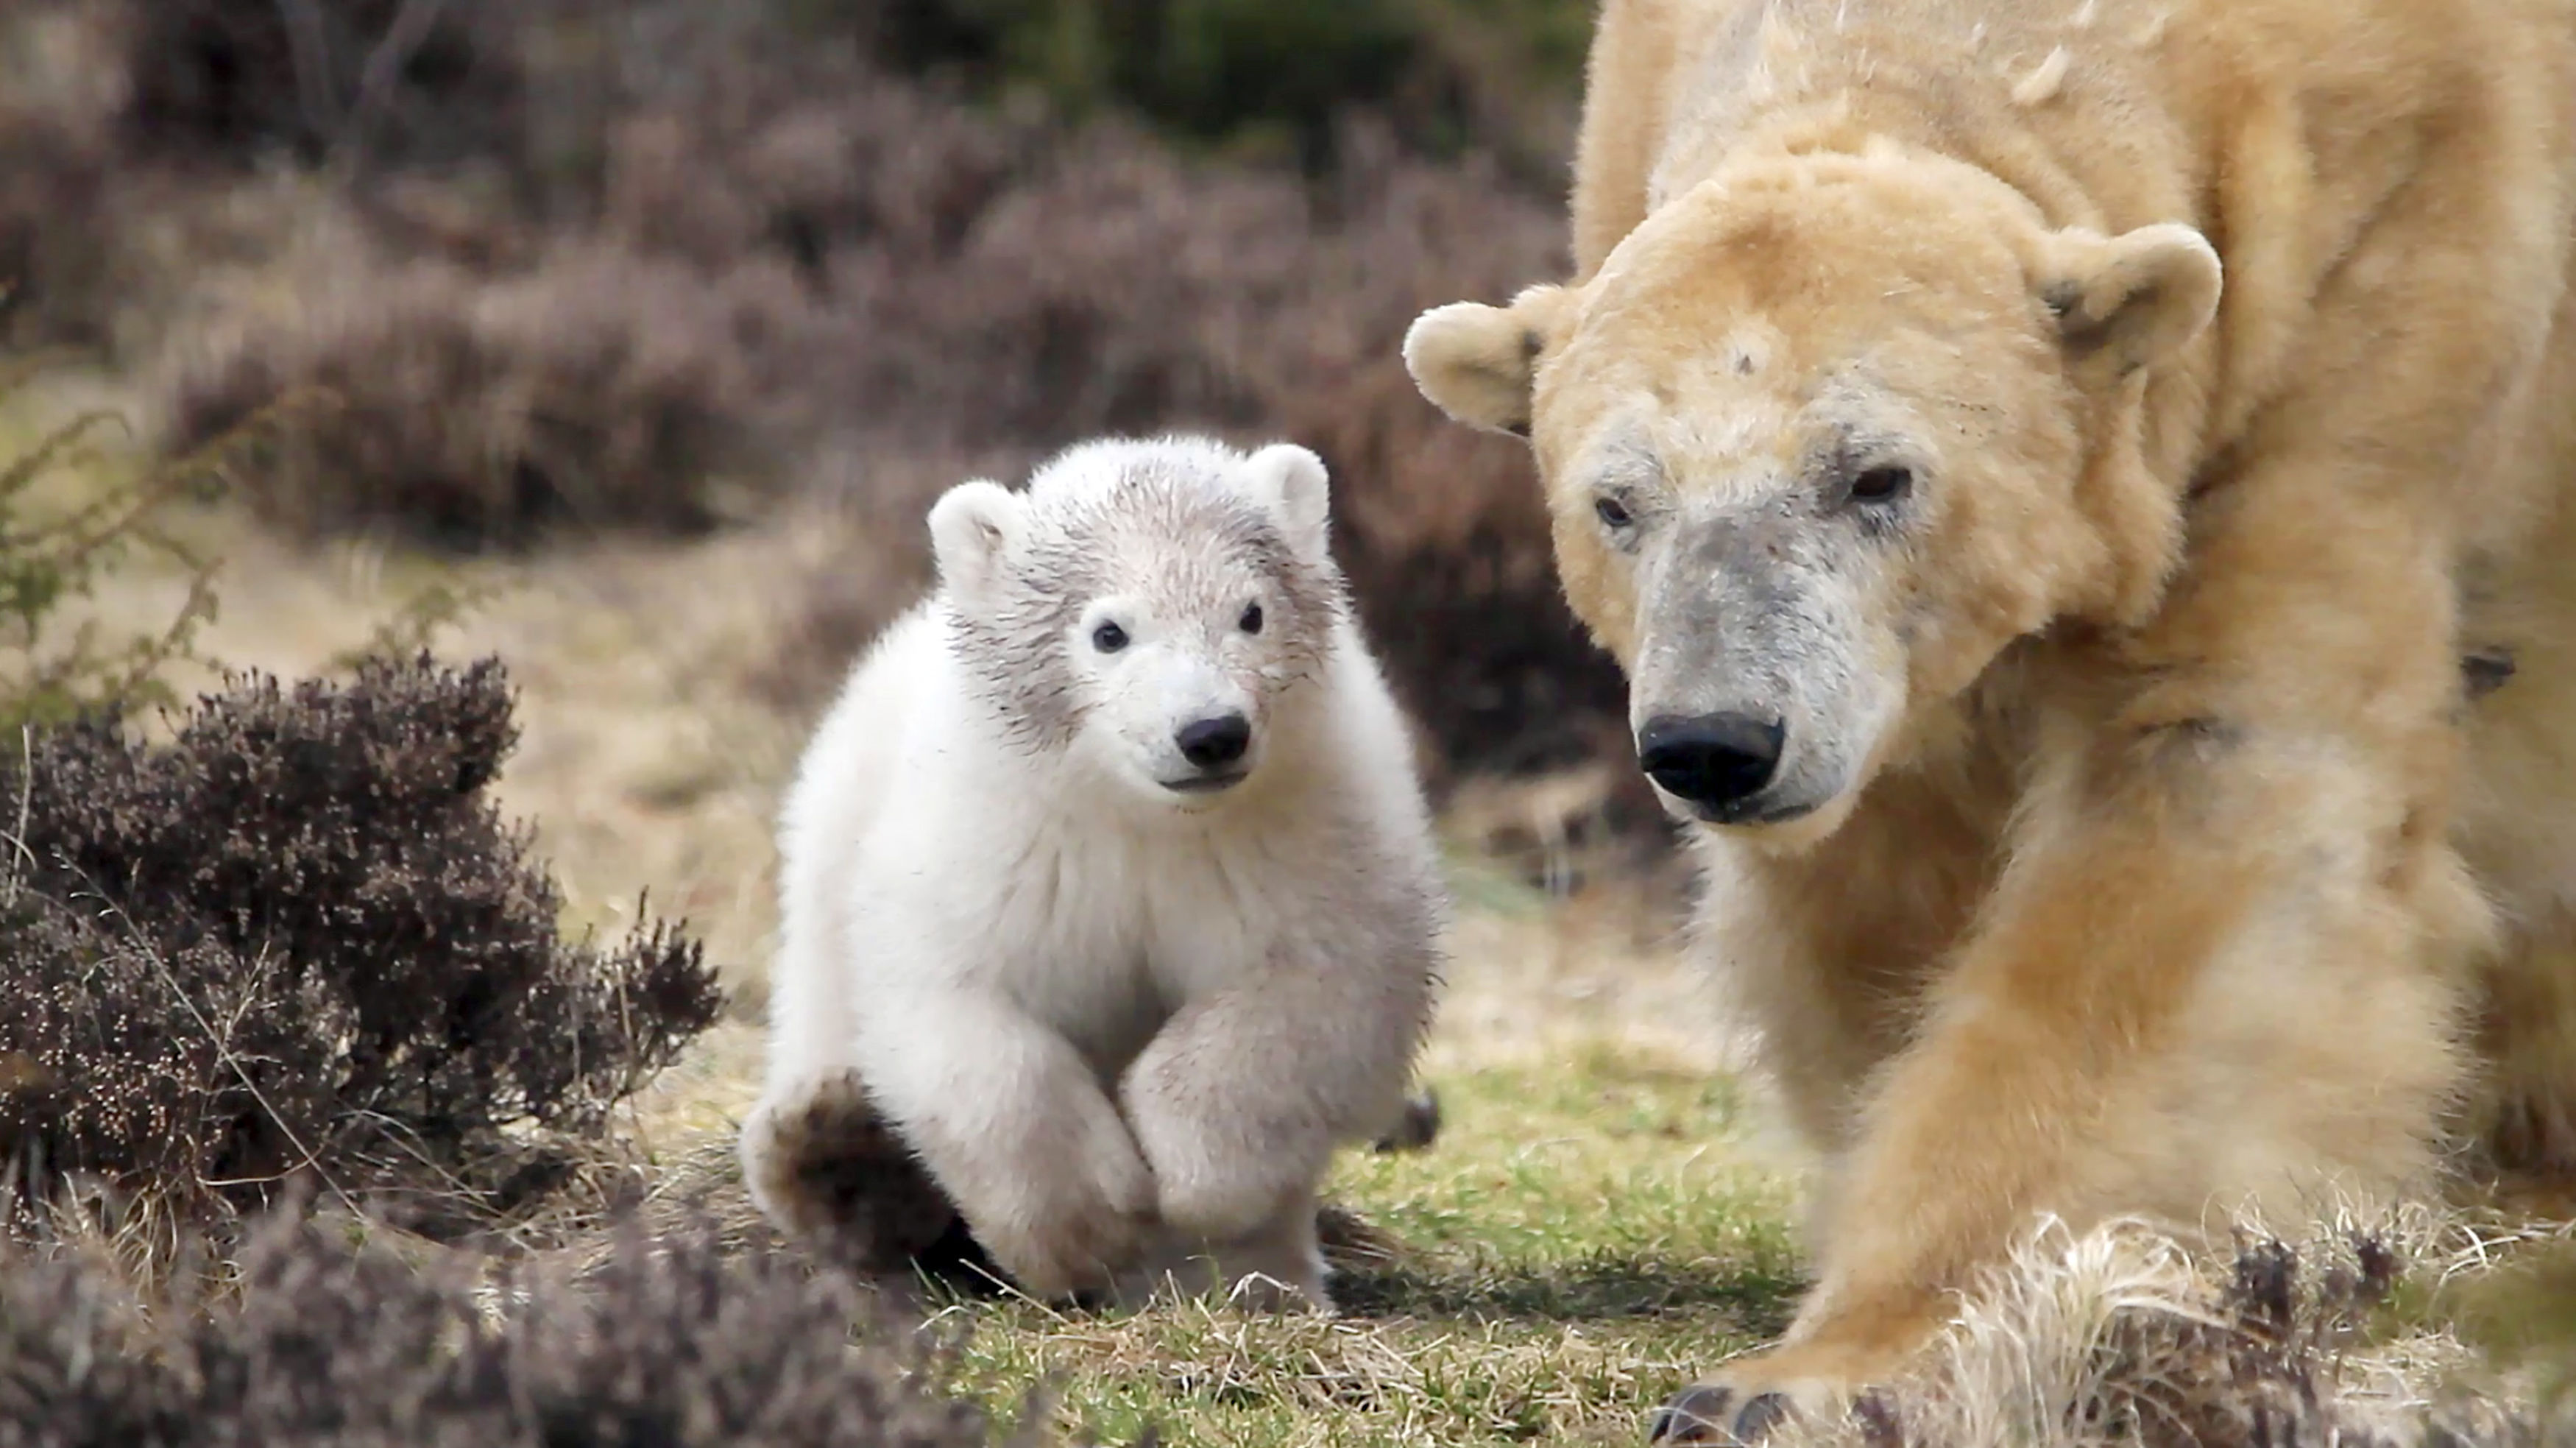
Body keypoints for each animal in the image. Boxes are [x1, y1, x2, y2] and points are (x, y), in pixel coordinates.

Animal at [1412, 0, 2576, 1433]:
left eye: (1878, 476)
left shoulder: (2376, 291)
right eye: (1616, 503)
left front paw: (1821, 1371)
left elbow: (2197, 812)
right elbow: (1888, 864)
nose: (1716, 745)